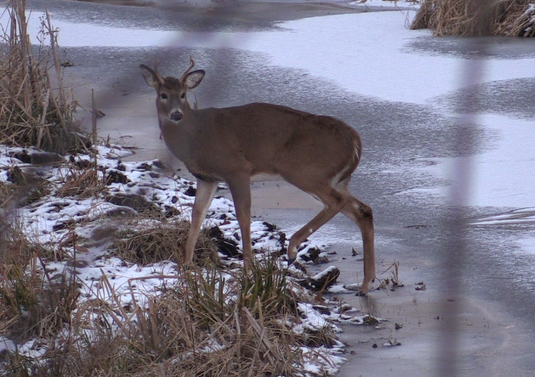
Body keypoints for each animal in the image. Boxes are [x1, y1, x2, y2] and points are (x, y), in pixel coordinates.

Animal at [142, 58, 376, 294]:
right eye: (163, 94)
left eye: (183, 94)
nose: (176, 114)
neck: (194, 136)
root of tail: (355, 141)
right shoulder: (207, 178)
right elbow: (197, 215)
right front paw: (186, 265)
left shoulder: (237, 169)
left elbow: (243, 216)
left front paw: (248, 270)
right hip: (336, 179)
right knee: (363, 210)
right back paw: (366, 284)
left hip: (303, 170)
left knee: (337, 201)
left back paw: (292, 250)